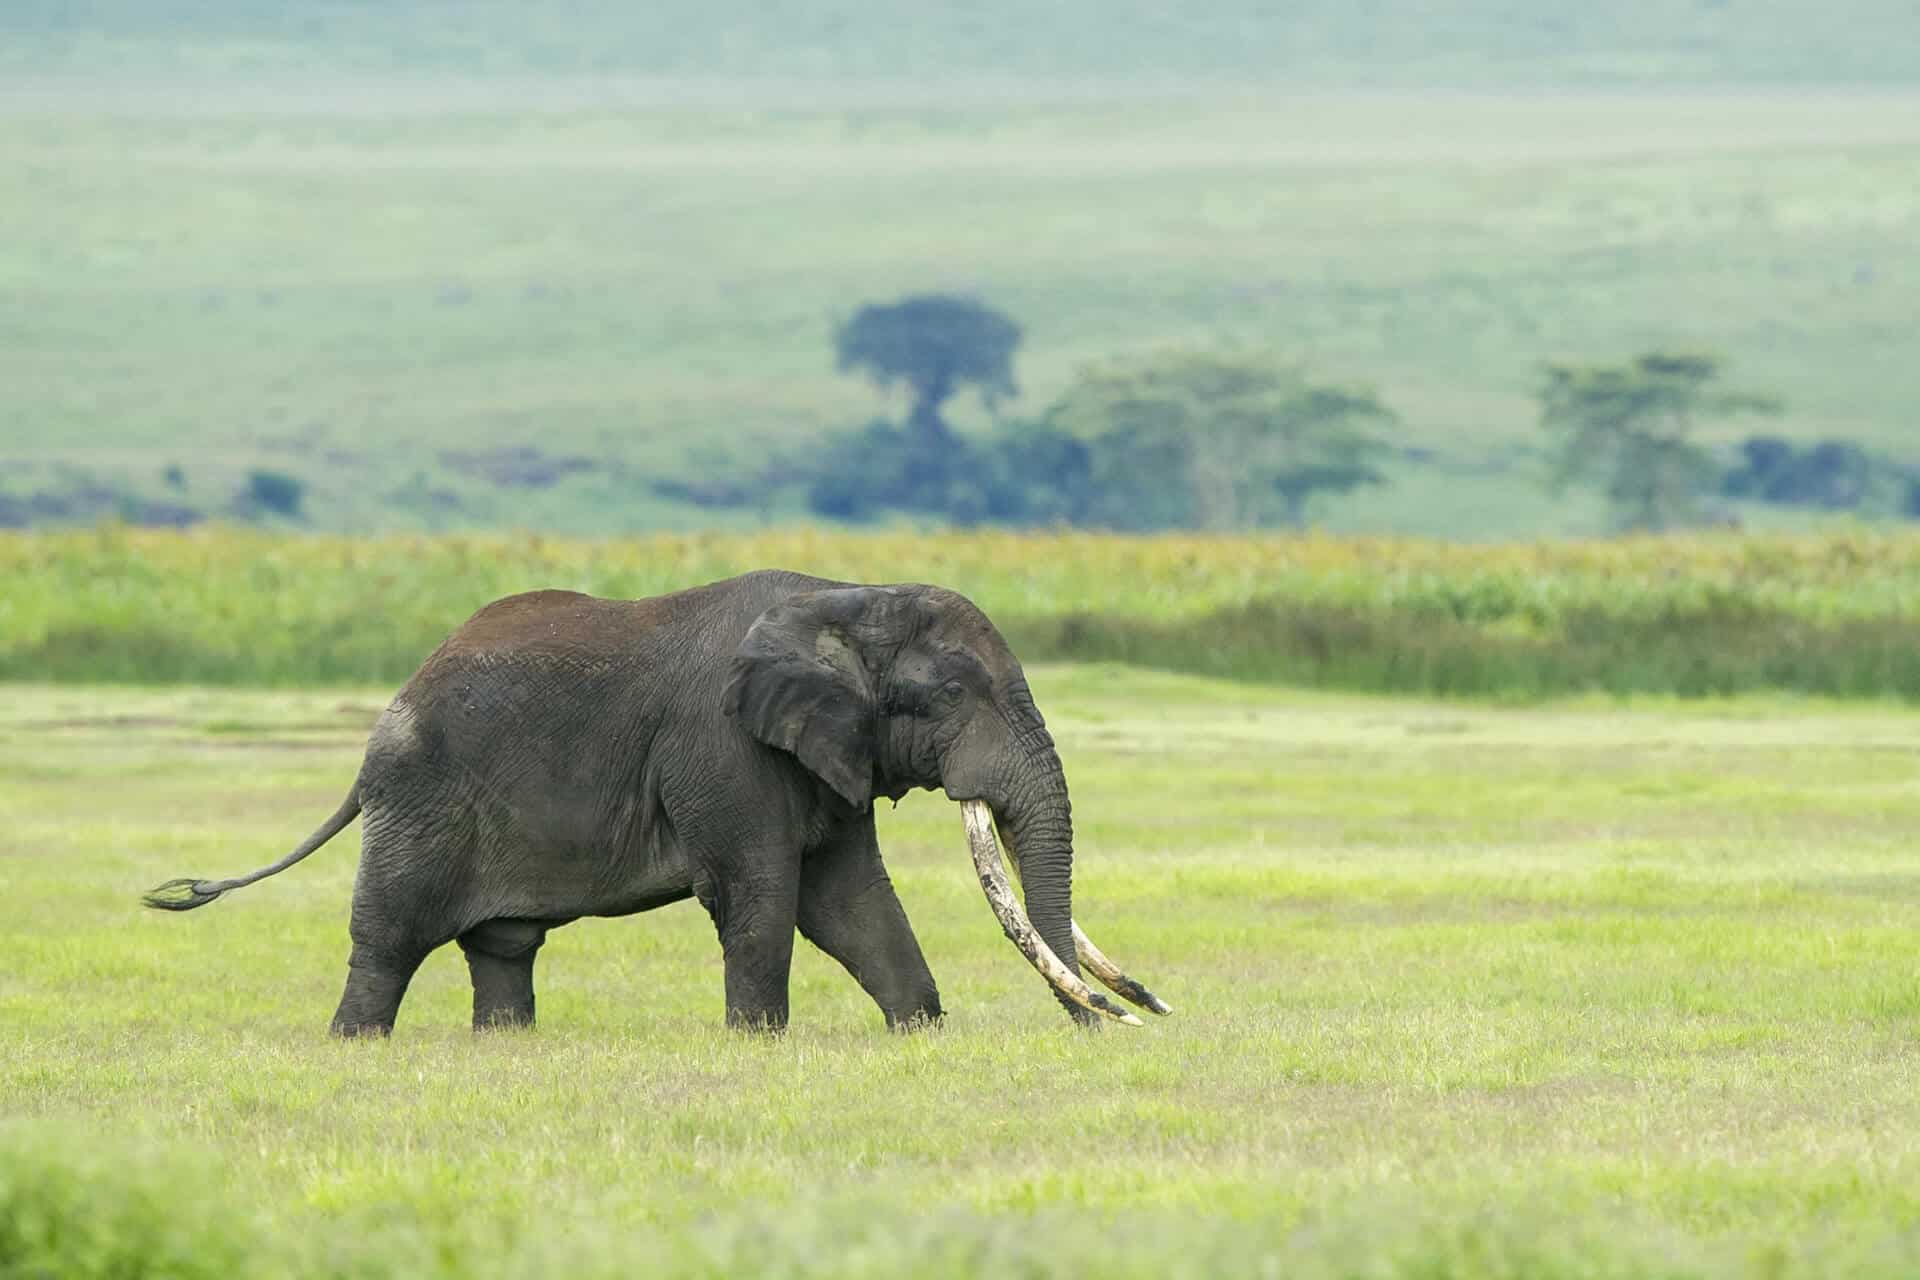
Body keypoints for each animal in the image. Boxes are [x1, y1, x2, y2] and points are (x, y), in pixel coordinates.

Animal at [143, 570, 1169, 1036]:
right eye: (951, 696)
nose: (1110, 1021)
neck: (844, 597)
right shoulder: (722, 749)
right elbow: (761, 895)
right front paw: (758, 1045)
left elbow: (850, 901)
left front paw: (919, 1033)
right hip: (420, 799)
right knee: (391, 936)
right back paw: (357, 1046)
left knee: (502, 947)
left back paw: (504, 1048)